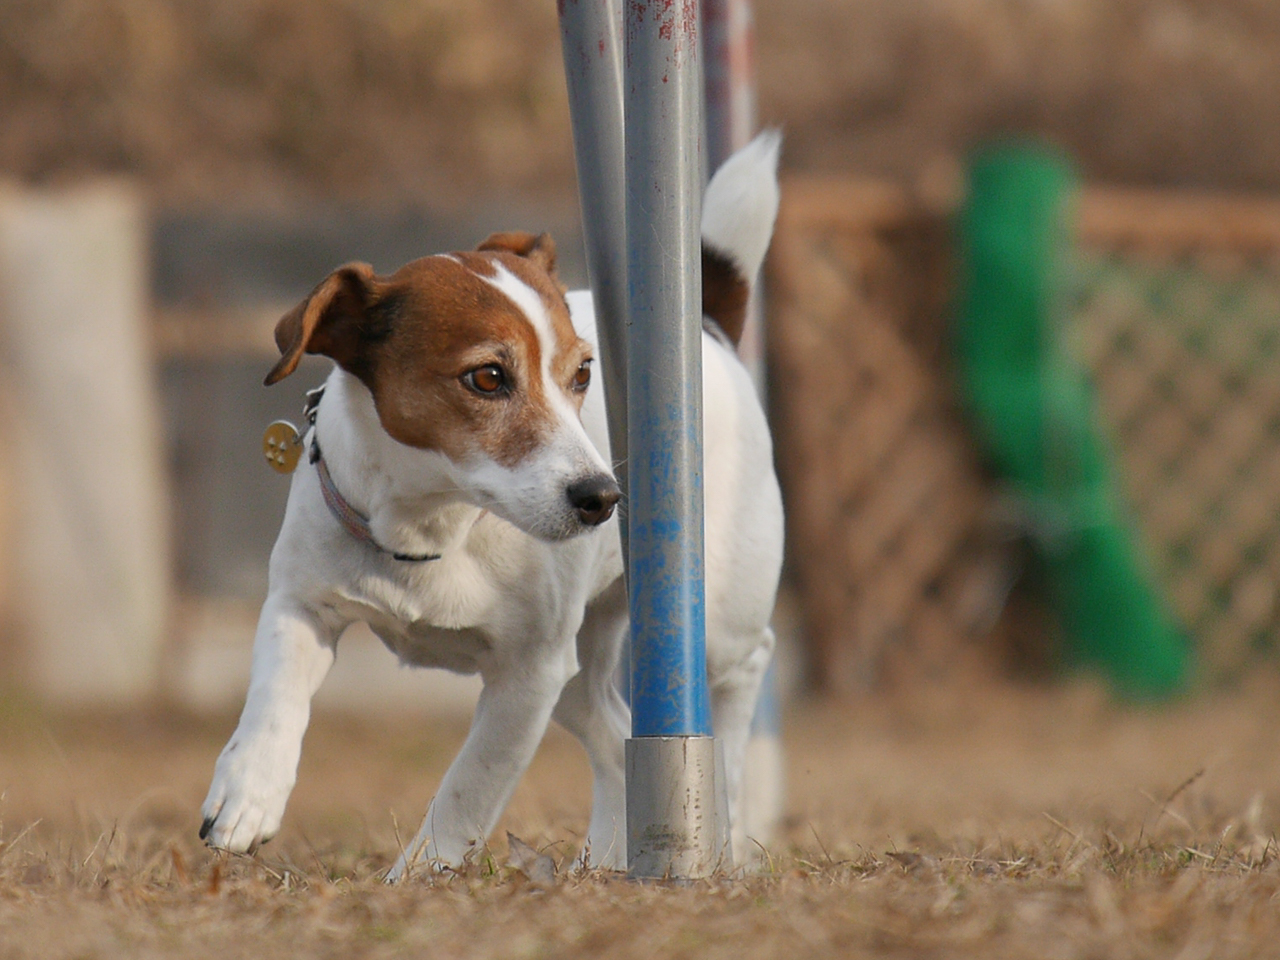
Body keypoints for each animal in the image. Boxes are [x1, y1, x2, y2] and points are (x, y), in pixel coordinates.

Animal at [200, 132, 784, 876]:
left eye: (582, 374)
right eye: (487, 377)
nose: (603, 499)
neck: (430, 528)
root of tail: (705, 330)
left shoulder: (527, 677)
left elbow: (468, 789)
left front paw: (418, 876)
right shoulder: (302, 604)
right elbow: (273, 700)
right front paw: (246, 795)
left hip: (704, 620)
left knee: (748, 665)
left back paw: (732, 816)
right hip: (576, 672)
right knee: (617, 731)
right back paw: (606, 857)